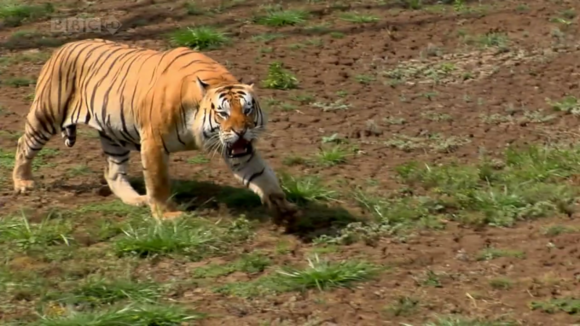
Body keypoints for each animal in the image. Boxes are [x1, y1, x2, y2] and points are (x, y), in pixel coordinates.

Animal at [12, 37, 300, 222]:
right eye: (223, 113)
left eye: (248, 110)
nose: (241, 131)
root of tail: (62, 46)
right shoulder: (153, 141)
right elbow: (159, 181)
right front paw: (167, 214)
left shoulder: (241, 150)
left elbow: (263, 176)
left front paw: (285, 207)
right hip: (47, 113)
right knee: (23, 144)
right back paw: (23, 182)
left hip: (113, 134)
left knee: (112, 171)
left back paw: (135, 199)